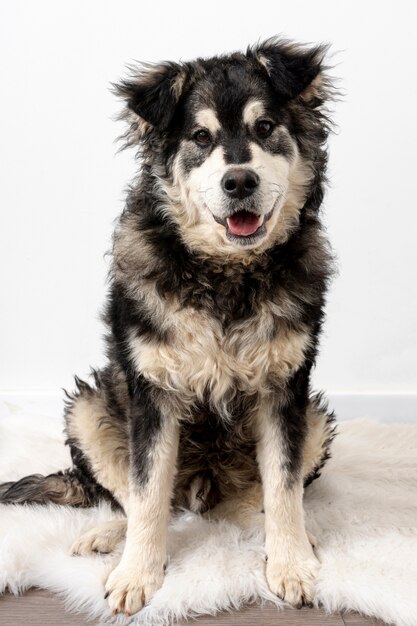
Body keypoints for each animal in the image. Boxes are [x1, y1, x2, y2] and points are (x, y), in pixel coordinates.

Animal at [0, 39, 336, 616]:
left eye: (265, 127)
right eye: (200, 137)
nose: (239, 181)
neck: (226, 275)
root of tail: (202, 491)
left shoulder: (286, 389)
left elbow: (284, 485)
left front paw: (290, 563)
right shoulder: (152, 392)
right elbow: (148, 490)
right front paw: (137, 574)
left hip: (314, 418)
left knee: (252, 500)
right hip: (89, 407)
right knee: (135, 499)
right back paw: (108, 536)